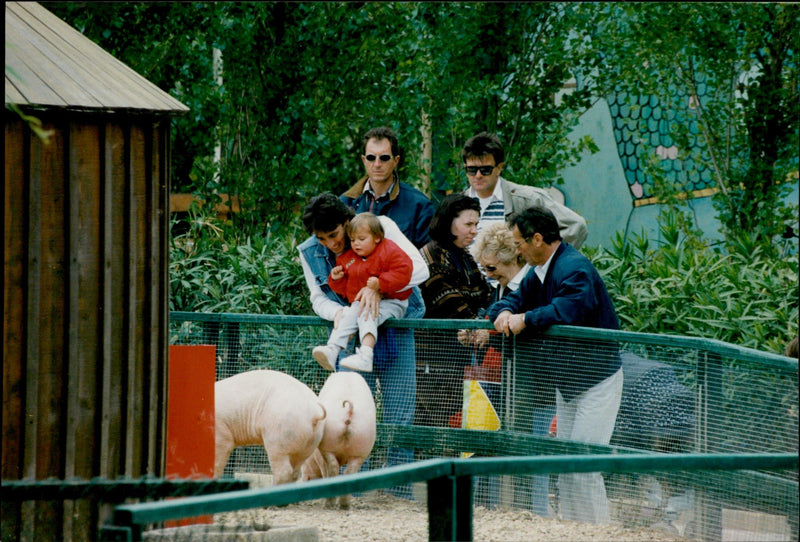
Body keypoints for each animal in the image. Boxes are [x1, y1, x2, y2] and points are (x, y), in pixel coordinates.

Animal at [304, 374, 378, 510]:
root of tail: (349, 410)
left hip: (328, 445)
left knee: (333, 468)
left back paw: (328, 504)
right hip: (362, 444)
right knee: (349, 471)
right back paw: (344, 505)